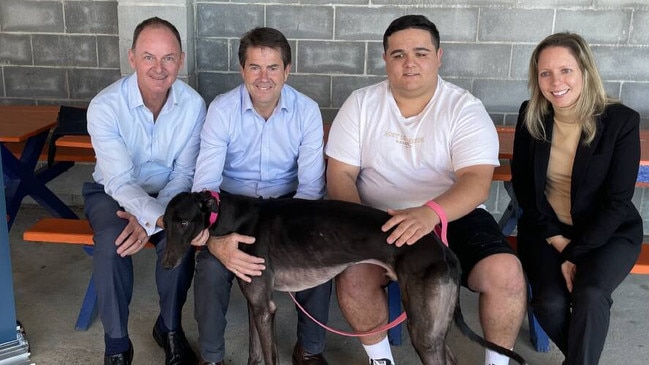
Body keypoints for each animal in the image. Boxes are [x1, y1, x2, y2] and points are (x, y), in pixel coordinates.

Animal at [162, 191, 528, 364]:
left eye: (185, 222)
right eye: (165, 222)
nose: (166, 265)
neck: (232, 217)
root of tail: (444, 250)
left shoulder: (265, 307)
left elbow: (268, 357)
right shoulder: (257, 303)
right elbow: (254, 354)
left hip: (423, 328)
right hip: (433, 326)